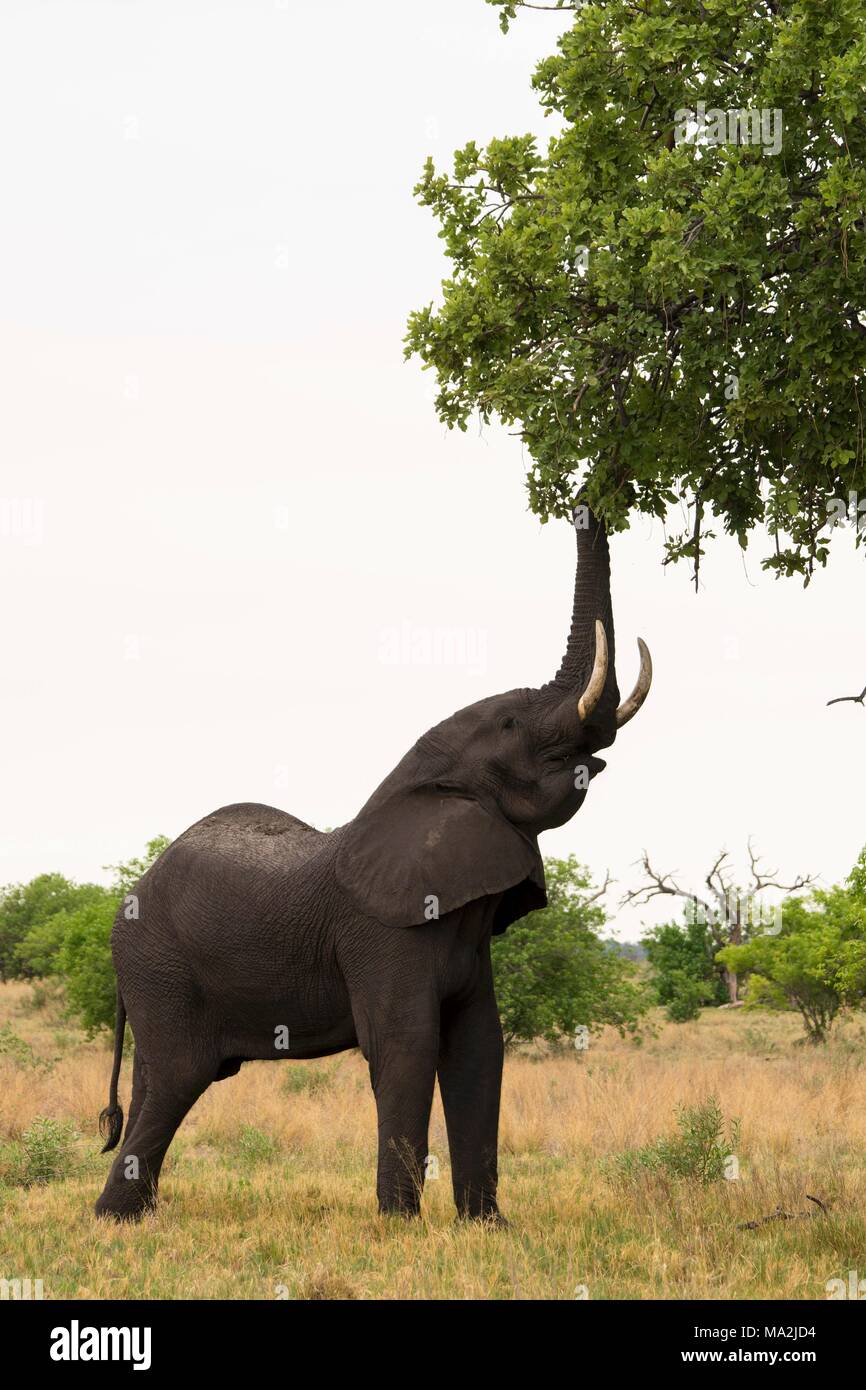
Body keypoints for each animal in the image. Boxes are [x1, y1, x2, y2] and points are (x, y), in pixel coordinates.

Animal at [94, 505, 651, 1223]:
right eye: (508, 723)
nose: (588, 499)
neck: (415, 790)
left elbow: (481, 1050)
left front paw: (488, 1227)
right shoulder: (382, 933)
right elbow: (406, 1046)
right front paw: (400, 1225)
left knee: (151, 1084)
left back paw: (134, 1217)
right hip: (160, 968)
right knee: (177, 1075)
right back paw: (114, 1220)